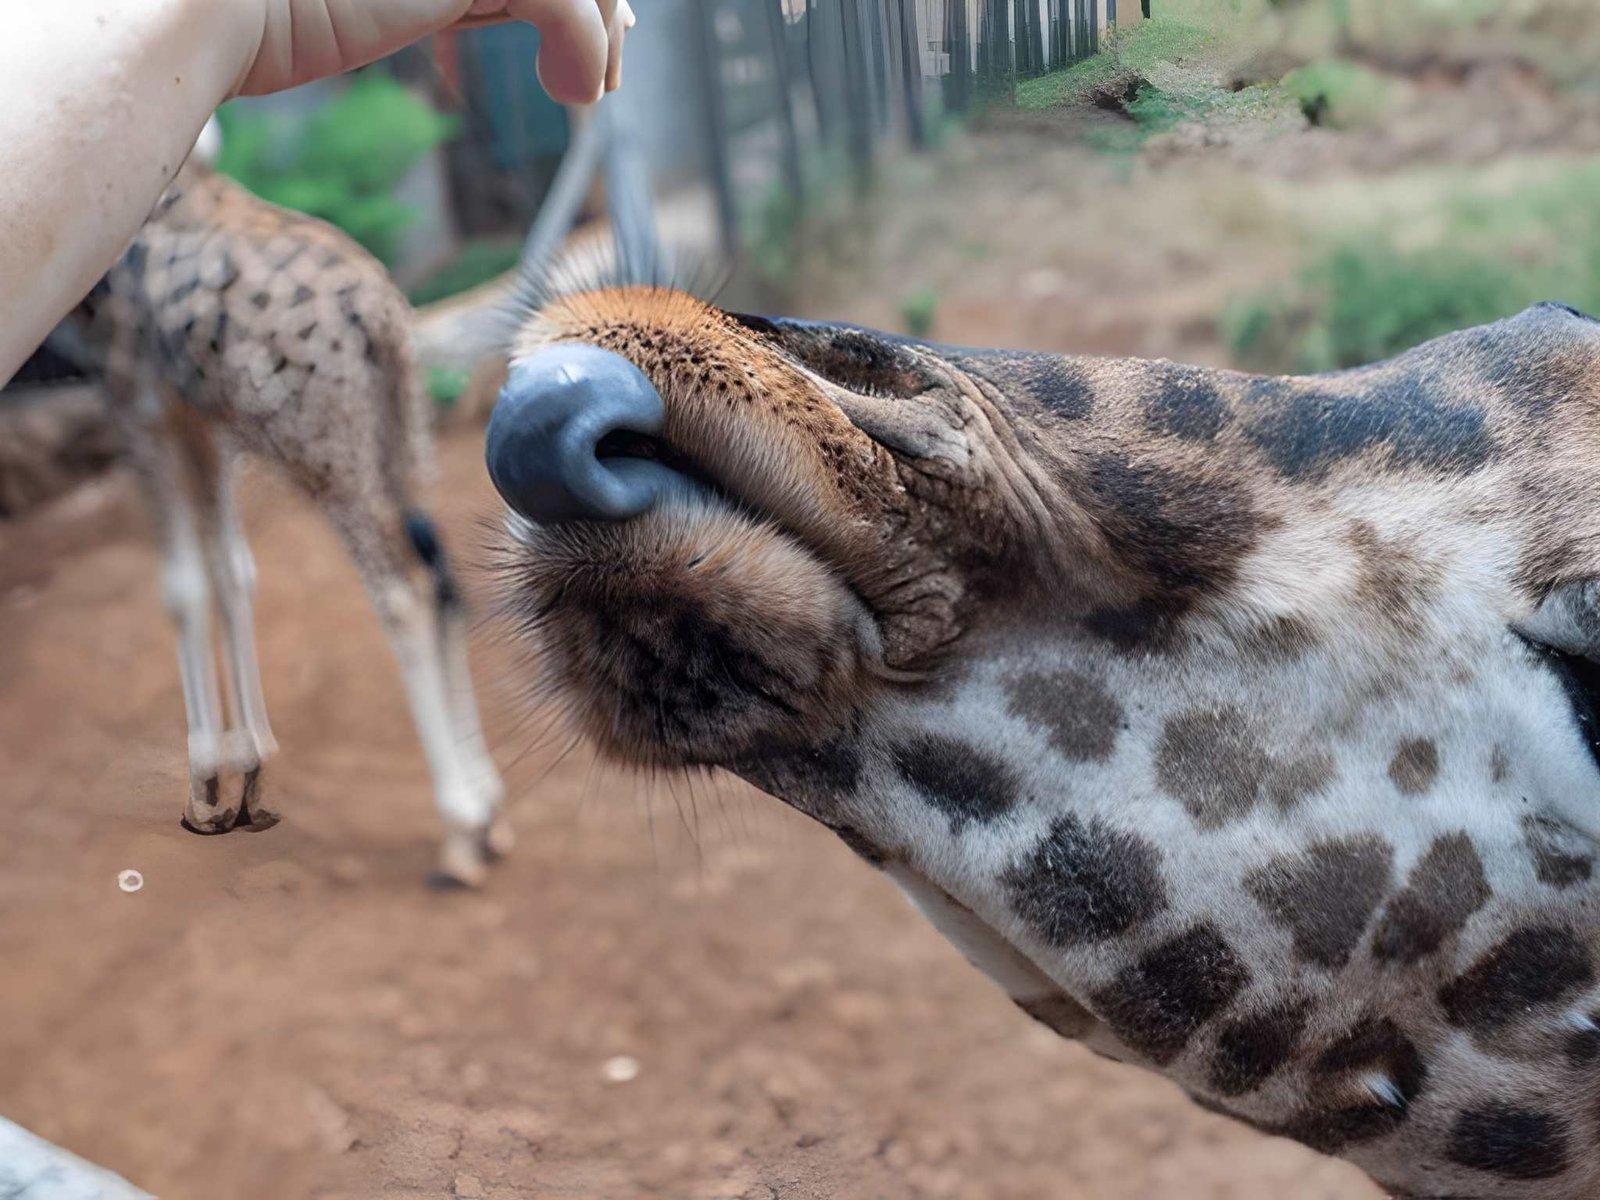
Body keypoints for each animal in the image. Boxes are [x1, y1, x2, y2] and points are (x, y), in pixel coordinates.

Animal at [72, 134, 508, 886]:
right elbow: (233, 572)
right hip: (401, 436)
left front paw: (204, 787)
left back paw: (459, 826)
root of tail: (382, 320)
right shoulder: (200, 416)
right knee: (445, 579)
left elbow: (183, 587)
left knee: (404, 591)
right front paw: (248, 775)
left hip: (325, 450)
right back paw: (487, 806)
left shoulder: (136, 395)